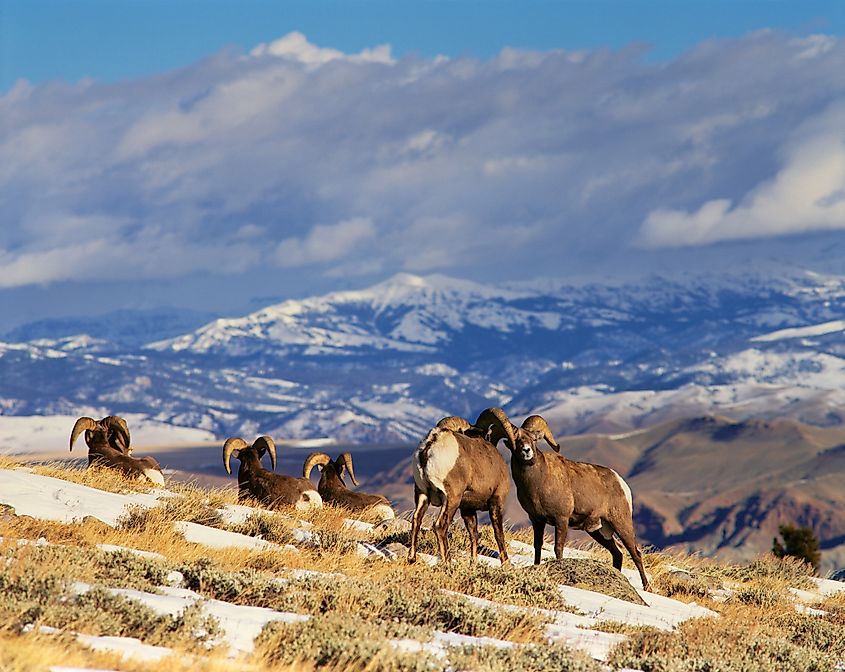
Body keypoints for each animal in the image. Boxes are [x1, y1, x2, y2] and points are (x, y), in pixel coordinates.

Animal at [408, 412, 512, 564]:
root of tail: (430, 445)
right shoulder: (496, 502)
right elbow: (498, 534)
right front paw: (506, 564)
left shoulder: (468, 509)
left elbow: (474, 534)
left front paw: (474, 562)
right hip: (451, 499)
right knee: (440, 526)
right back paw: (448, 562)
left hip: (422, 494)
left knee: (416, 519)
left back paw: (412, 558)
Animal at [482, 404, 652, 588]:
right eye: (517, 440)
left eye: (534, 439)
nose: (527, 451)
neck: (538, 482)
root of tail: (620, 483)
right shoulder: (537, 520)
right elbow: (537, 545)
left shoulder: (561, 520)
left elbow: (558, 548)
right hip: (598, 531)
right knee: (618, 553)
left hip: (621, 524)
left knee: (635, 553)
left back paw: (647, 587)